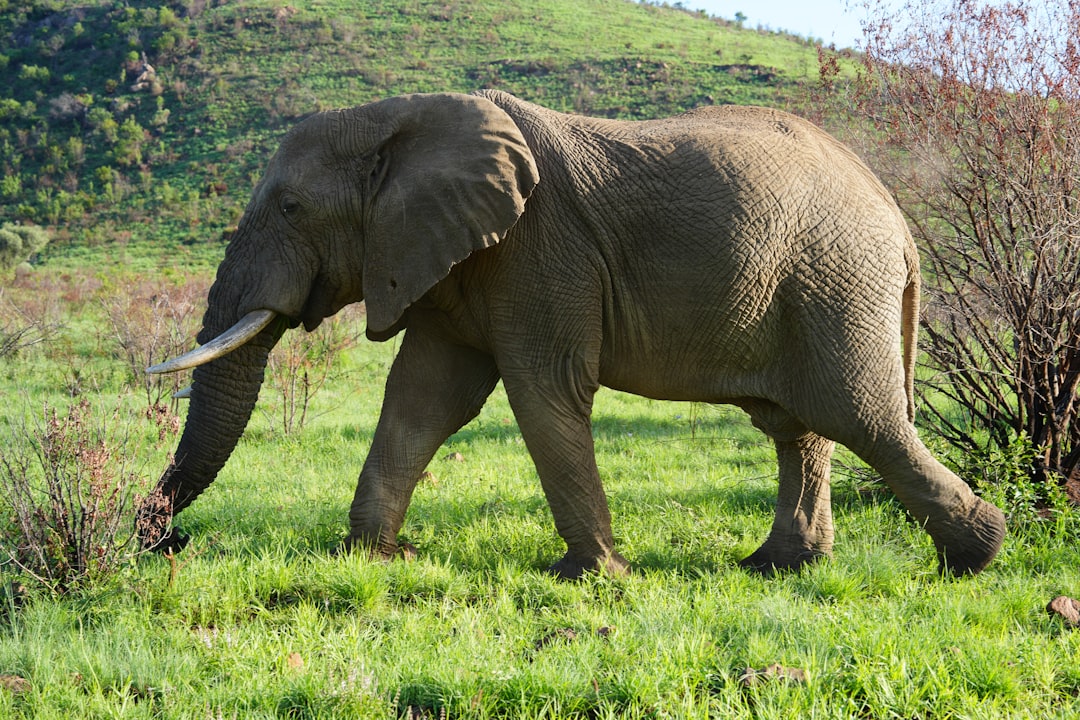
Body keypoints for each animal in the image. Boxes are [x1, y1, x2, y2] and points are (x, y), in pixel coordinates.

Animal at [141, 90, 1006, 579]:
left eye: (290, 208)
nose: (165, 543)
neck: (399, 118)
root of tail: (897, 217)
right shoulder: (456, 259)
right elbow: (424, 399)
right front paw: (373, 560)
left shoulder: (538, 248)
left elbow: (541, 389)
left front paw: (594, 576)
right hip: (810, 287)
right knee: (800, 426)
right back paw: (779, 568)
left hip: (835, 280)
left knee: (862, 417)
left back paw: (977, 555)